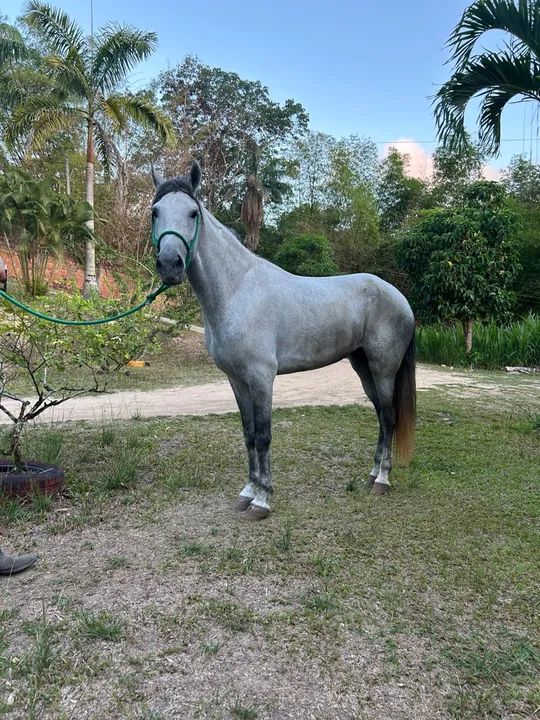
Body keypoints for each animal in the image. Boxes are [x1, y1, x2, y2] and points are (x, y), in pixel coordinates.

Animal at [151, 163, 416, 520]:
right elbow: (249, 434)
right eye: (155, 212)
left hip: (383, 368)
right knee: (380, 417)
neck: (236, 291)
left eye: (193, 213)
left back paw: (383, 481)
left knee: (389, 417)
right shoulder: (236, 379)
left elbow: (263, 436)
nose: (169, 264)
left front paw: (262, 501)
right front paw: (247, 492)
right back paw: (373, 474)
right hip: (363, 367)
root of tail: (400, 298)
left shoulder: (262, 377)